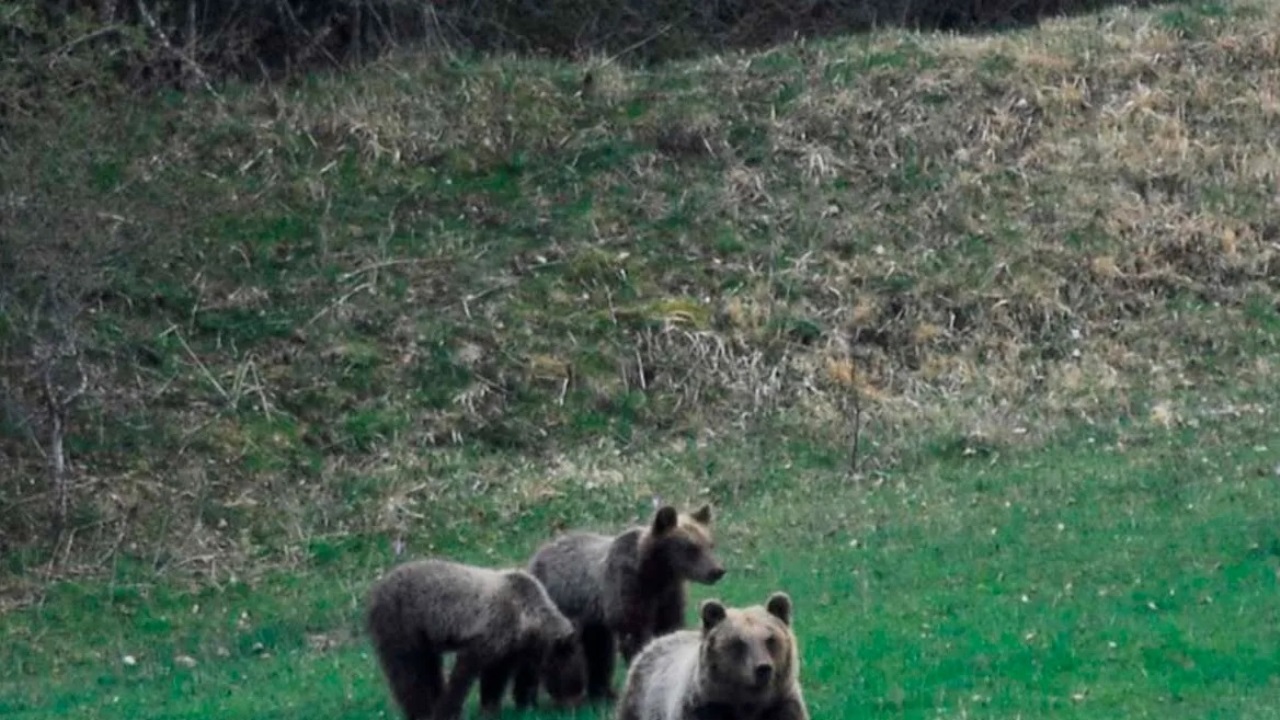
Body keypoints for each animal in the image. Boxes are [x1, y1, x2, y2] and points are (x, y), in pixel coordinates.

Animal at [363, 556, 586, 717]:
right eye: (572, 681)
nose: (574, 707)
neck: (527, 619)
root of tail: (375, 588)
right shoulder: (489, 632)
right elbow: (466, 672)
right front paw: (448, 711)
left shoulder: (510, 647)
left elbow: (496, 677)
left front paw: (494, 707)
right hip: (402, 623)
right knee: (408, 671)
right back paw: (420, 710)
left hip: (423, 638)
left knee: (427, 668)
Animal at [514, 502, 727, 696]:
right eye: (691, 547)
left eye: (710, 544)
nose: (717, 570)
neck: (656, 574)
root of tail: (539, 551)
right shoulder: (628, 589)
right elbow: (634, 633)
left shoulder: (668, 597)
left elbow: (669, 627)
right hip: (555, 603)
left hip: (592, 617)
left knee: (598, 648)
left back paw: (602, 691)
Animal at [611, 589, 808, 717]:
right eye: (738, 642)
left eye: (770, 639)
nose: (763, 668)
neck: (747, 704)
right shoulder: (703, 708)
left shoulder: (781, 707)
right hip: (638, 703)